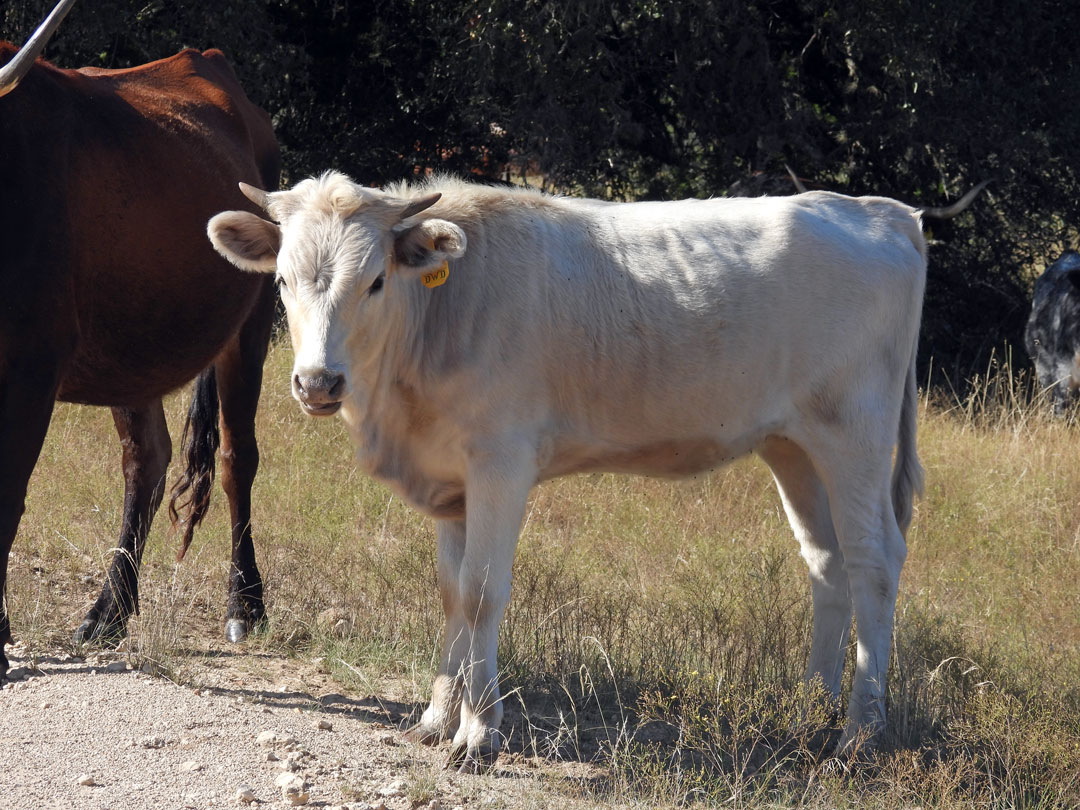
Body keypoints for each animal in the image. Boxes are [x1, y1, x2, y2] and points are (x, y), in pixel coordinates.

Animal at [1, 0, 278, 678]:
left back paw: (245, 605)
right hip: (135, 342)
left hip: (250, 325)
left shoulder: (33, 364)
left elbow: (7, 497)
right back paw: (108, 614)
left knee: (236, 458)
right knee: (146, 461)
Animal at [208, 172, 928, 773]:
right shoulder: (449, 478)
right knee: (826, 563)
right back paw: (810, 710)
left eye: (376, 281)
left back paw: (858, 735)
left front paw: (479, 733)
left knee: (874, 561)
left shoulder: (501, 461)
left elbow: (481, 592)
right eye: (281, 281)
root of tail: (880, 211)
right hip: (792, 445)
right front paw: (436, 718)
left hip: (853, 433)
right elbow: (449, 590)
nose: (317, 382)